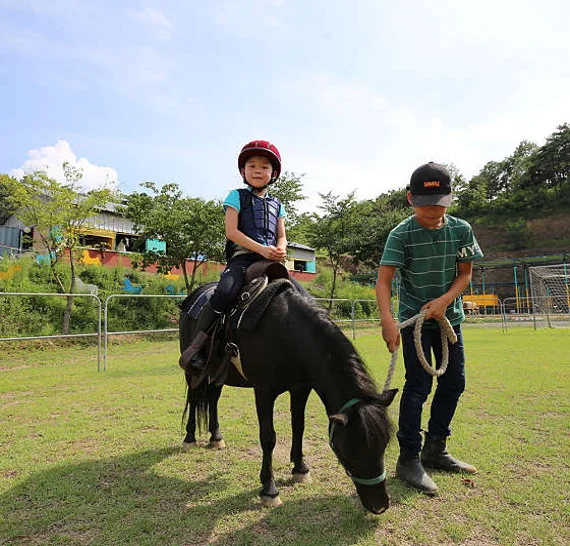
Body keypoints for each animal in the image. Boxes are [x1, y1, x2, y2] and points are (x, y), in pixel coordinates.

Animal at [178, 278, 394, 512]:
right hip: (193, 370)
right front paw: (269, 489)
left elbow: (298, 427)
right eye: (349, 452)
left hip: (218, 373)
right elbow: (268, 437)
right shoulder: (264, 392)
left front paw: (300, 469)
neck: (288, 332)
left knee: (213, 398)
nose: (380, 506)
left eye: (384, 445)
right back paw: (189, 437)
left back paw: (216, 437)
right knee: (193, 398)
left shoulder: (301, 388)